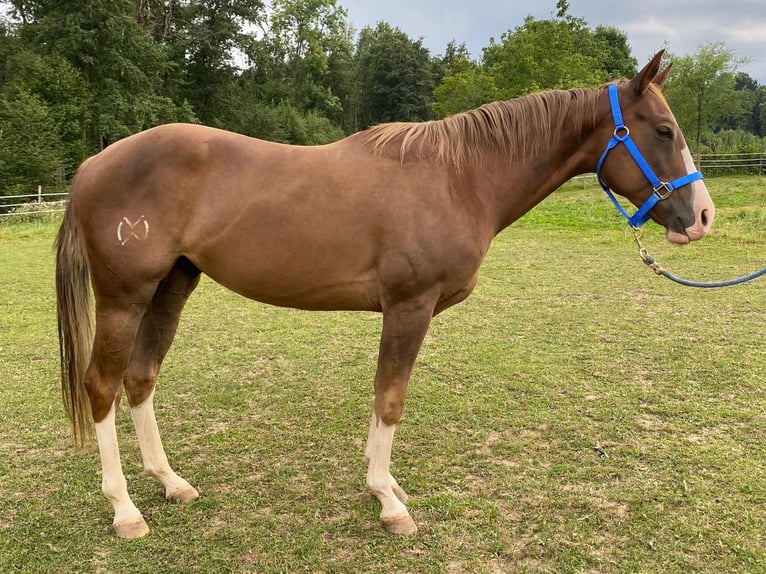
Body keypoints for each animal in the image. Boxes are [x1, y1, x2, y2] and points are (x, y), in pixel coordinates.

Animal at [56, 51, 714, 539]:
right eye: (663, 130)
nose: (701, 217)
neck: (458, 178)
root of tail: (90, 166)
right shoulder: (408, 307)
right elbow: (390, 399)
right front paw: (389, 502)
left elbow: (384, 400)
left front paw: (387, 487)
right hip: (125, 297)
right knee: (102, 387)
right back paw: (125, 510)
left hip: (171, 287)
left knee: (140, 378)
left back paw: (170, 483)